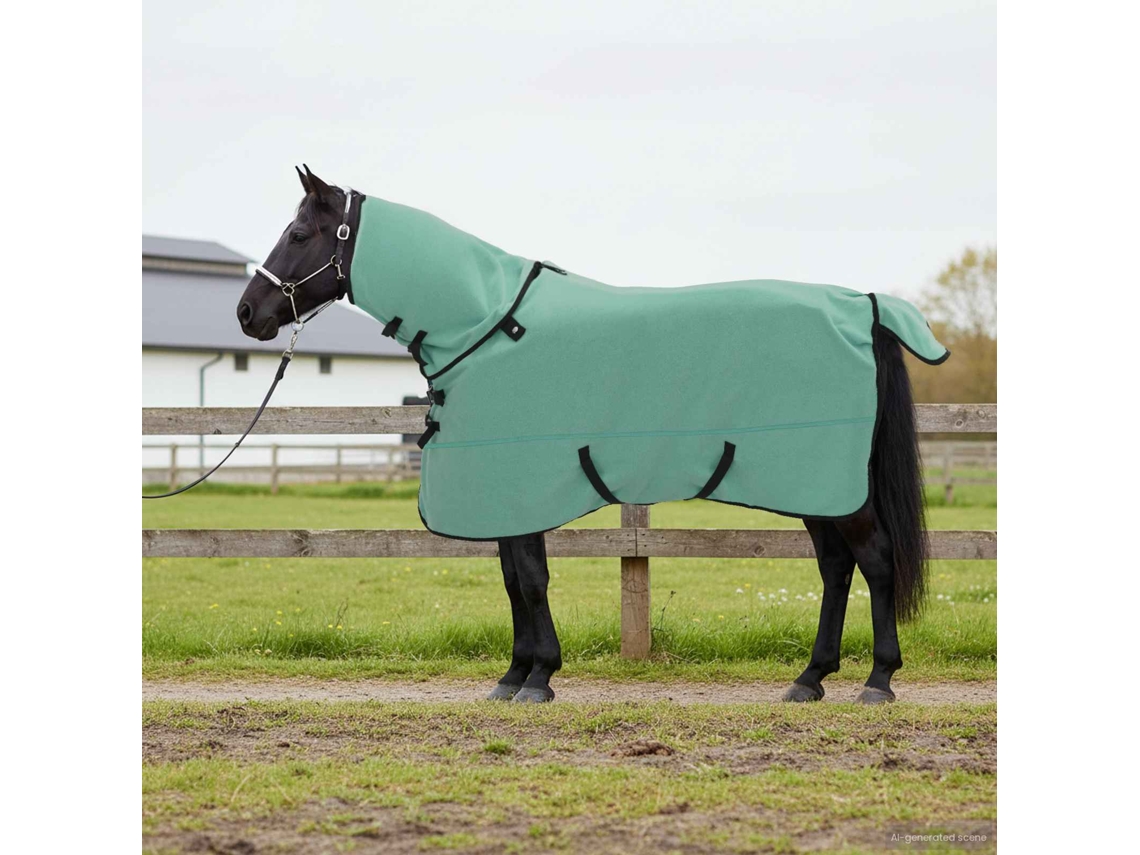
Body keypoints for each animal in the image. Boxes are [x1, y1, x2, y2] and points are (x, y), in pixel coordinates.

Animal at [237, 166, 947, 705]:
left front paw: (539, 678)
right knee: (836, 569)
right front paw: (514, 676)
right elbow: (514, 580)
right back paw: (810, 679)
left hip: (834, 488)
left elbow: (529, 580)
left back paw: (878, 681)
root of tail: (863, 305)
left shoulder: (522, 487)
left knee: (875, 562)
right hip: (816, 489)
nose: (248, 313)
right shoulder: (506, 496)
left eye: (298, 232)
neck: (488, 323)